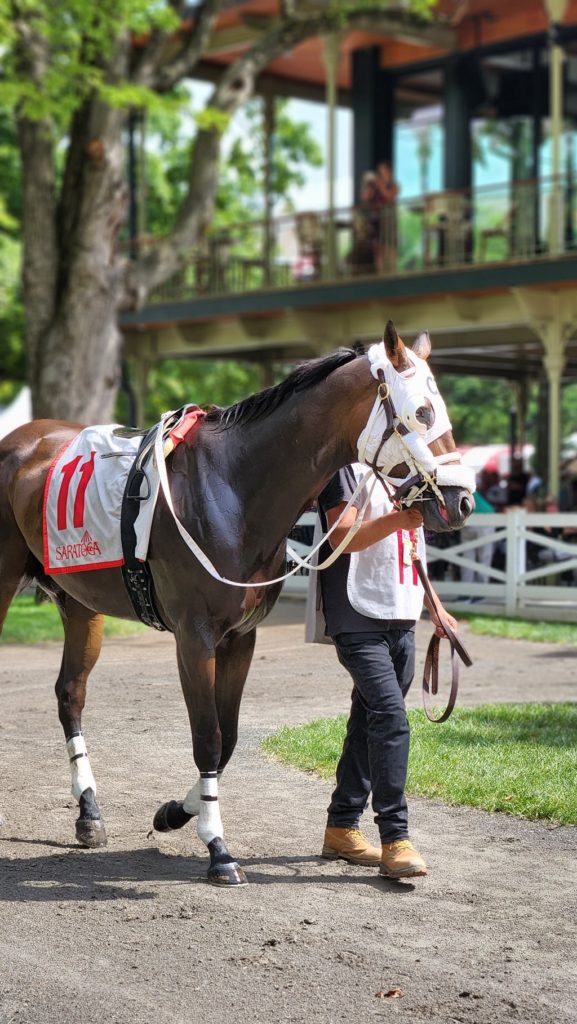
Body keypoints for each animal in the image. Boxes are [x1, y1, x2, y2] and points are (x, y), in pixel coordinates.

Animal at [0, 323, 473, 884]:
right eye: (422, 412)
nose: (462, 502)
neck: (232, 487)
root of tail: (21, 439)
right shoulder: (194, 637)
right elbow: (207, 736)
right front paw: (218, 849)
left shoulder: (241, 638)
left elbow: (226, 740)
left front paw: (174, 813)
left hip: (80, 601)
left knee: (70, 694)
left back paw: (89, 815)